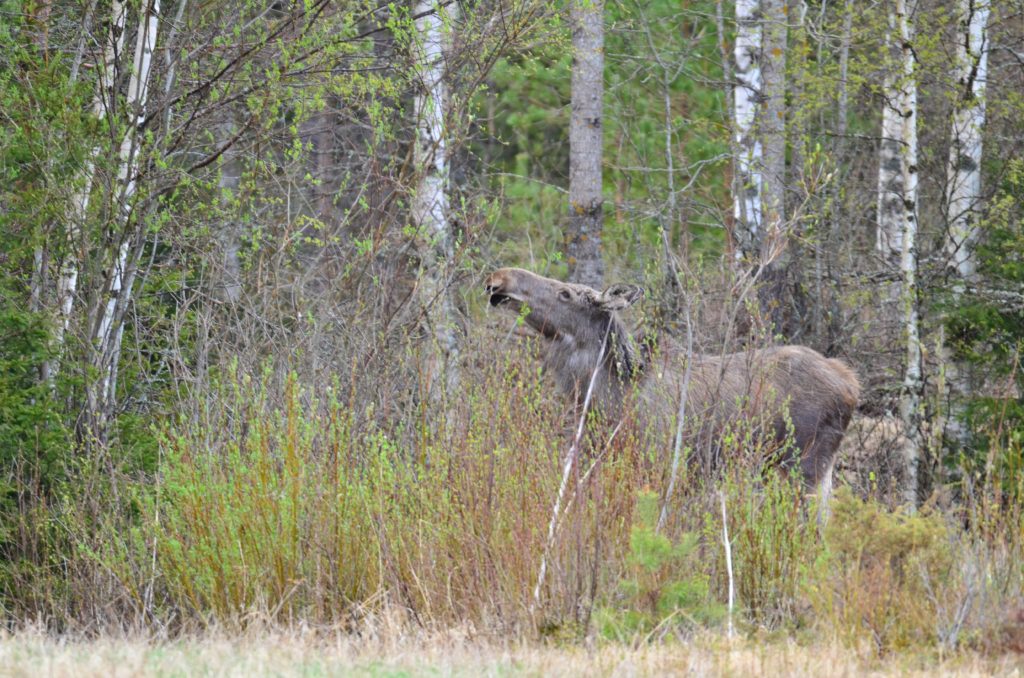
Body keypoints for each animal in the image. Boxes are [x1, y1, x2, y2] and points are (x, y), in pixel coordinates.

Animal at [483, 266, 860, 503]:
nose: (498, 278)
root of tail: (851, 384)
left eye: (564, 293)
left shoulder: (665, 463)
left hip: (805, 463)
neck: (606, 395)